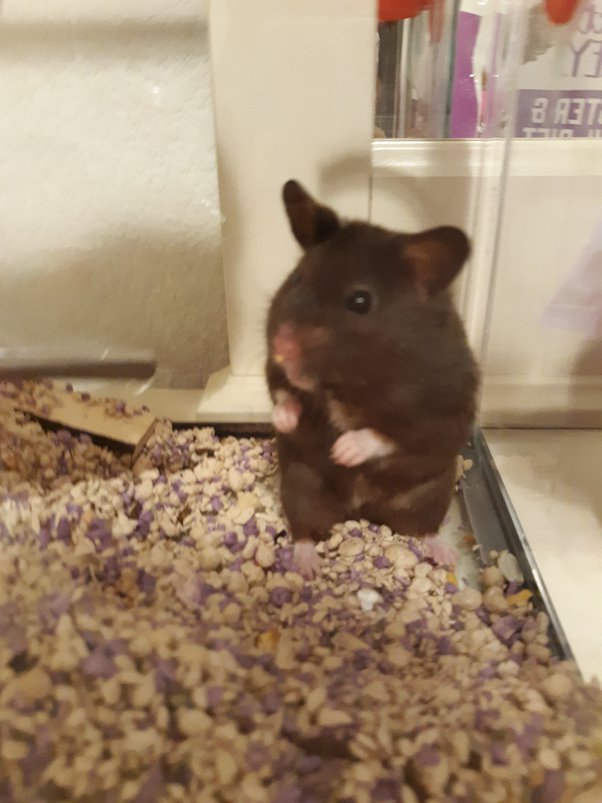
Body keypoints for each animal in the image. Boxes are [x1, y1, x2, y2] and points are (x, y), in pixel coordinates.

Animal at [266, 180, 479, 578]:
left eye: (360, 301)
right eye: (298, 278)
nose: (281, 346)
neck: (348, 381)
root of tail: (360, 509)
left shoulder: (439, 415)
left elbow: (389, 435)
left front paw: (343, 450)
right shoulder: (276, 375)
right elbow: (282, 393)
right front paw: (286, 421)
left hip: (429, 495)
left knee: (423, 528)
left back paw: (445, 555)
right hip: (301, 486)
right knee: (303, 529)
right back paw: (306, 566)